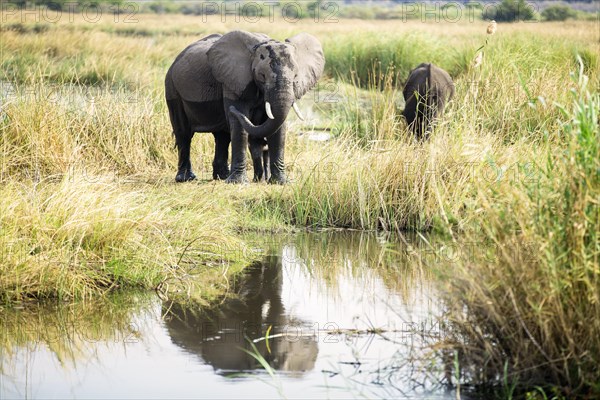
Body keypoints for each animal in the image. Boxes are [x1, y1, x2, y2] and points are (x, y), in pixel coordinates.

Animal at [164, 30, 326, 184]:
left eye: (296, 77)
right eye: (262, 76)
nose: (232, 110)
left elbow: (279, 127)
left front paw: (280, 182)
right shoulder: (233, 80)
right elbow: (239, 124)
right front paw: (238, 182)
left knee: (222, 136)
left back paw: (222, 176)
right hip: (172, 86)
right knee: (184, 133)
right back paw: (186, 178)